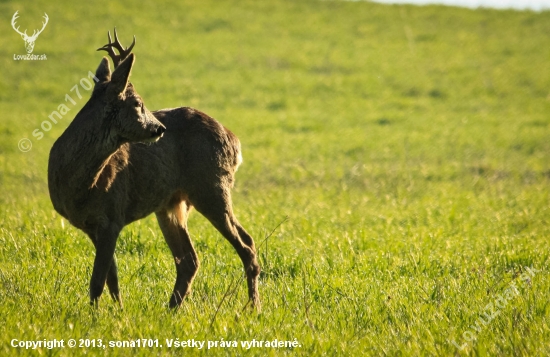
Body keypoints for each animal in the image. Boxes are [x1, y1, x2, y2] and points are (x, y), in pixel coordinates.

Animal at [47, 29, 260, 308]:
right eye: (138, 102)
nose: (160, 128)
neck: (81, 184)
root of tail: (235, 142)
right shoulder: (95, 225)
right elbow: (111, 278)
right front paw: (118, 312)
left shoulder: (112, 215)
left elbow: (97, 281)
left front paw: (96, 315)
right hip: (171, 203)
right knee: (189, 259)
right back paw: (171, 309)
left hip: (212, 186)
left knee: (246, 245)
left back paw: (253, 307)